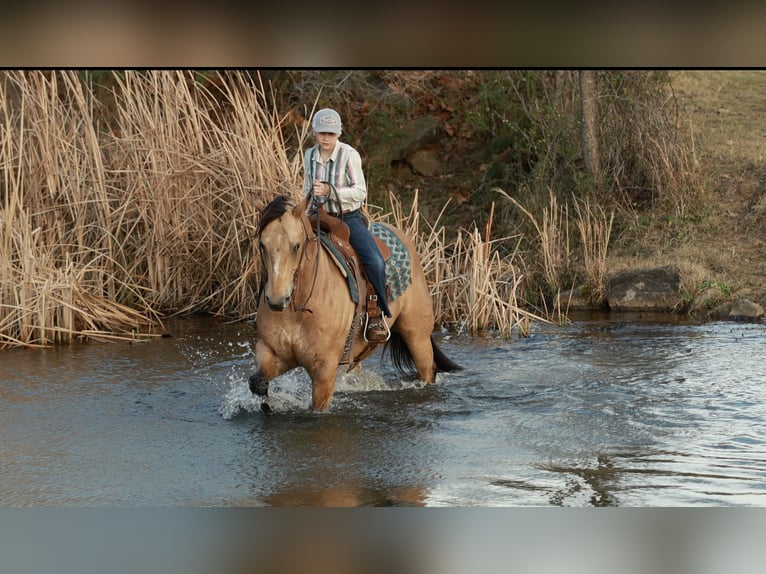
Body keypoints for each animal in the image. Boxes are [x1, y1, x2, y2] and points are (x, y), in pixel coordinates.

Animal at [248, 194, 462, 411]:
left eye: (296, 246)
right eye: (262, 245)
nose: (277, 300)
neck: (299, 308)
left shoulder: (324, 371)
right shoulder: (272, 351)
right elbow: (258, 382)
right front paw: (267, 405)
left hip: (418, 337)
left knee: (427, 370)